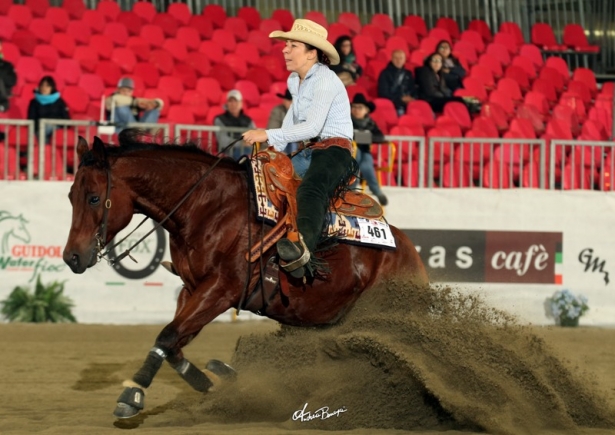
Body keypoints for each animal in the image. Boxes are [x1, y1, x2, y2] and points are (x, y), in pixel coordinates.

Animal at [62, 133, 428, 418]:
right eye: (70, 196)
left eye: (94, 197)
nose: (71, 257)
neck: (206, 207)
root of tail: (411, 254)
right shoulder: (192, 288)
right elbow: (175, 341)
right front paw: (213, 380)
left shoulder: (221, 289)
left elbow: (167, 335)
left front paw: (132, 394)